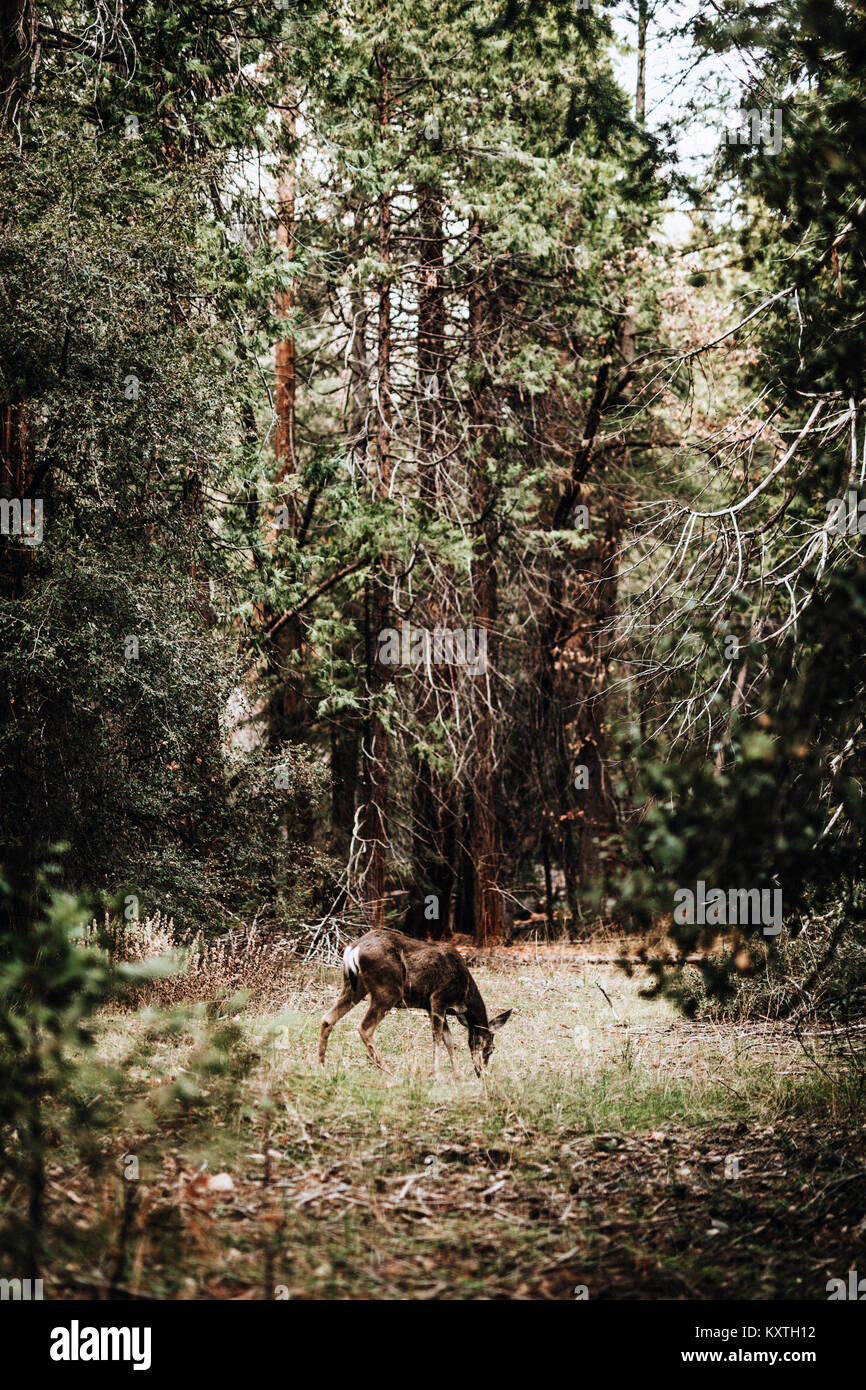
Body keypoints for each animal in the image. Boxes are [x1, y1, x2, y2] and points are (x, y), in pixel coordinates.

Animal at [318, 928, 511, 1078]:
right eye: (490, 1047)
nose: (481, 1072)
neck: (465, 994)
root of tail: (353, 948)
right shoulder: (438, 998)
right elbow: (437, 1038)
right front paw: (437, 1074)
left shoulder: (429, 1006)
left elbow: (448, 1039)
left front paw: (457, 1075)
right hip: (387, 990)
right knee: (365, 1028)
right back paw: (388, 1072)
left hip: (353, 986)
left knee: (328, 1019)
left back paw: (321, 1065)